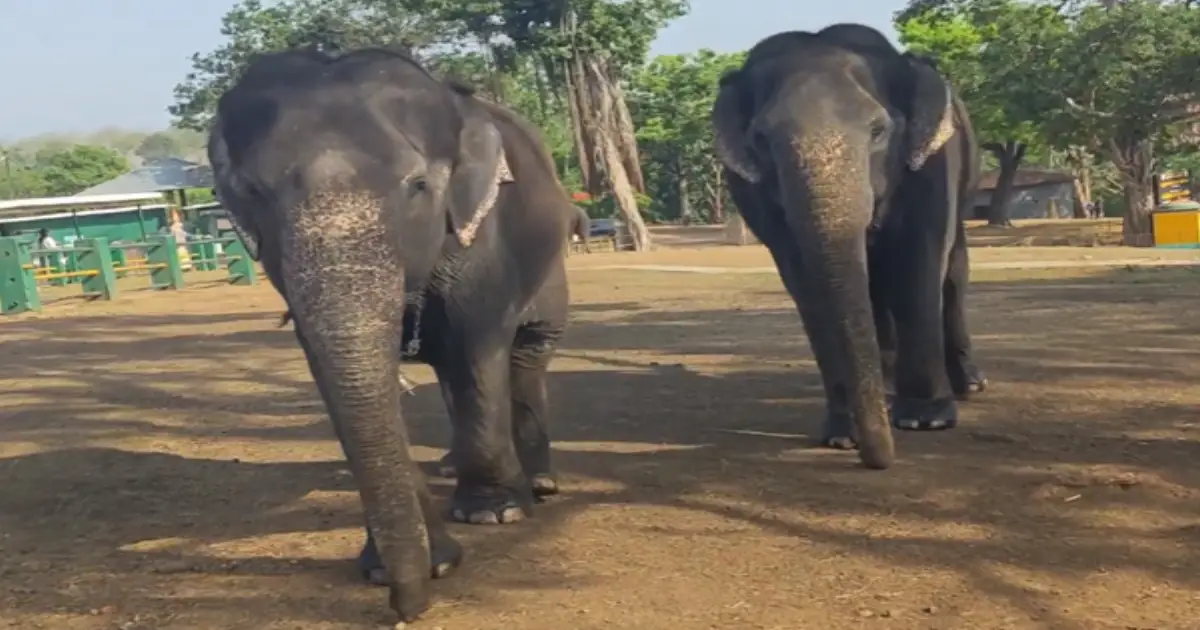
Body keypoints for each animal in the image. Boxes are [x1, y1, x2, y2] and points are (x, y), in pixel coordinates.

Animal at [208, 47, 577, 622]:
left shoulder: (483, 241)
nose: (407, 610)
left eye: (418, 186)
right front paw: (403, 564)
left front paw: (493, 515)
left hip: (552, 261)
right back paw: (453, 468)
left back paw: (537, 485)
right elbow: (334, 376)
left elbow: (477, 347)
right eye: (252, 193)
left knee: (525, 357)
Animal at [710, 23, 987, 469]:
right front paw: (843, 435)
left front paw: (924, 420)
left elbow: (918, 258)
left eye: (878, 131)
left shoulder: (934, 163)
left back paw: (968, 385)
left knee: (952, 269)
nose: (878, 460)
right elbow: (803, 280)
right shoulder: (750, 189)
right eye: (761, 139)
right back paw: (886, 393)